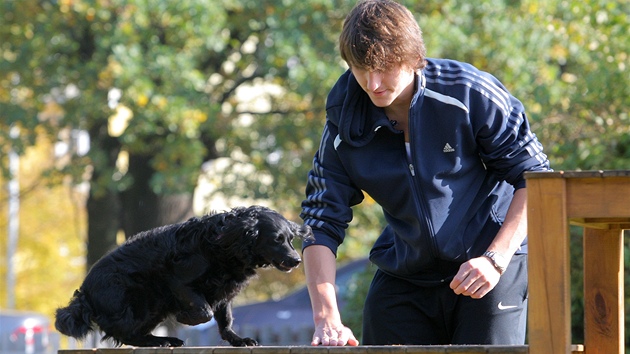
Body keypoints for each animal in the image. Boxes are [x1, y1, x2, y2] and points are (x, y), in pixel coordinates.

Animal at [54, 206, 314, 348]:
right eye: (276, 240)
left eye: (290, 239)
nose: (297, 260)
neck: (224, 244)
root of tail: (85, 292)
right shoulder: (179, 282)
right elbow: (204, 311)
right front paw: (185, 318)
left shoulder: (224, 291)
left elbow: (225, 319)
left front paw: (237, 339)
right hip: (140, 303)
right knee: (126, 334)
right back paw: (163, 340)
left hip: (152, 309)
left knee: (132, 334)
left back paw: (163, 341)